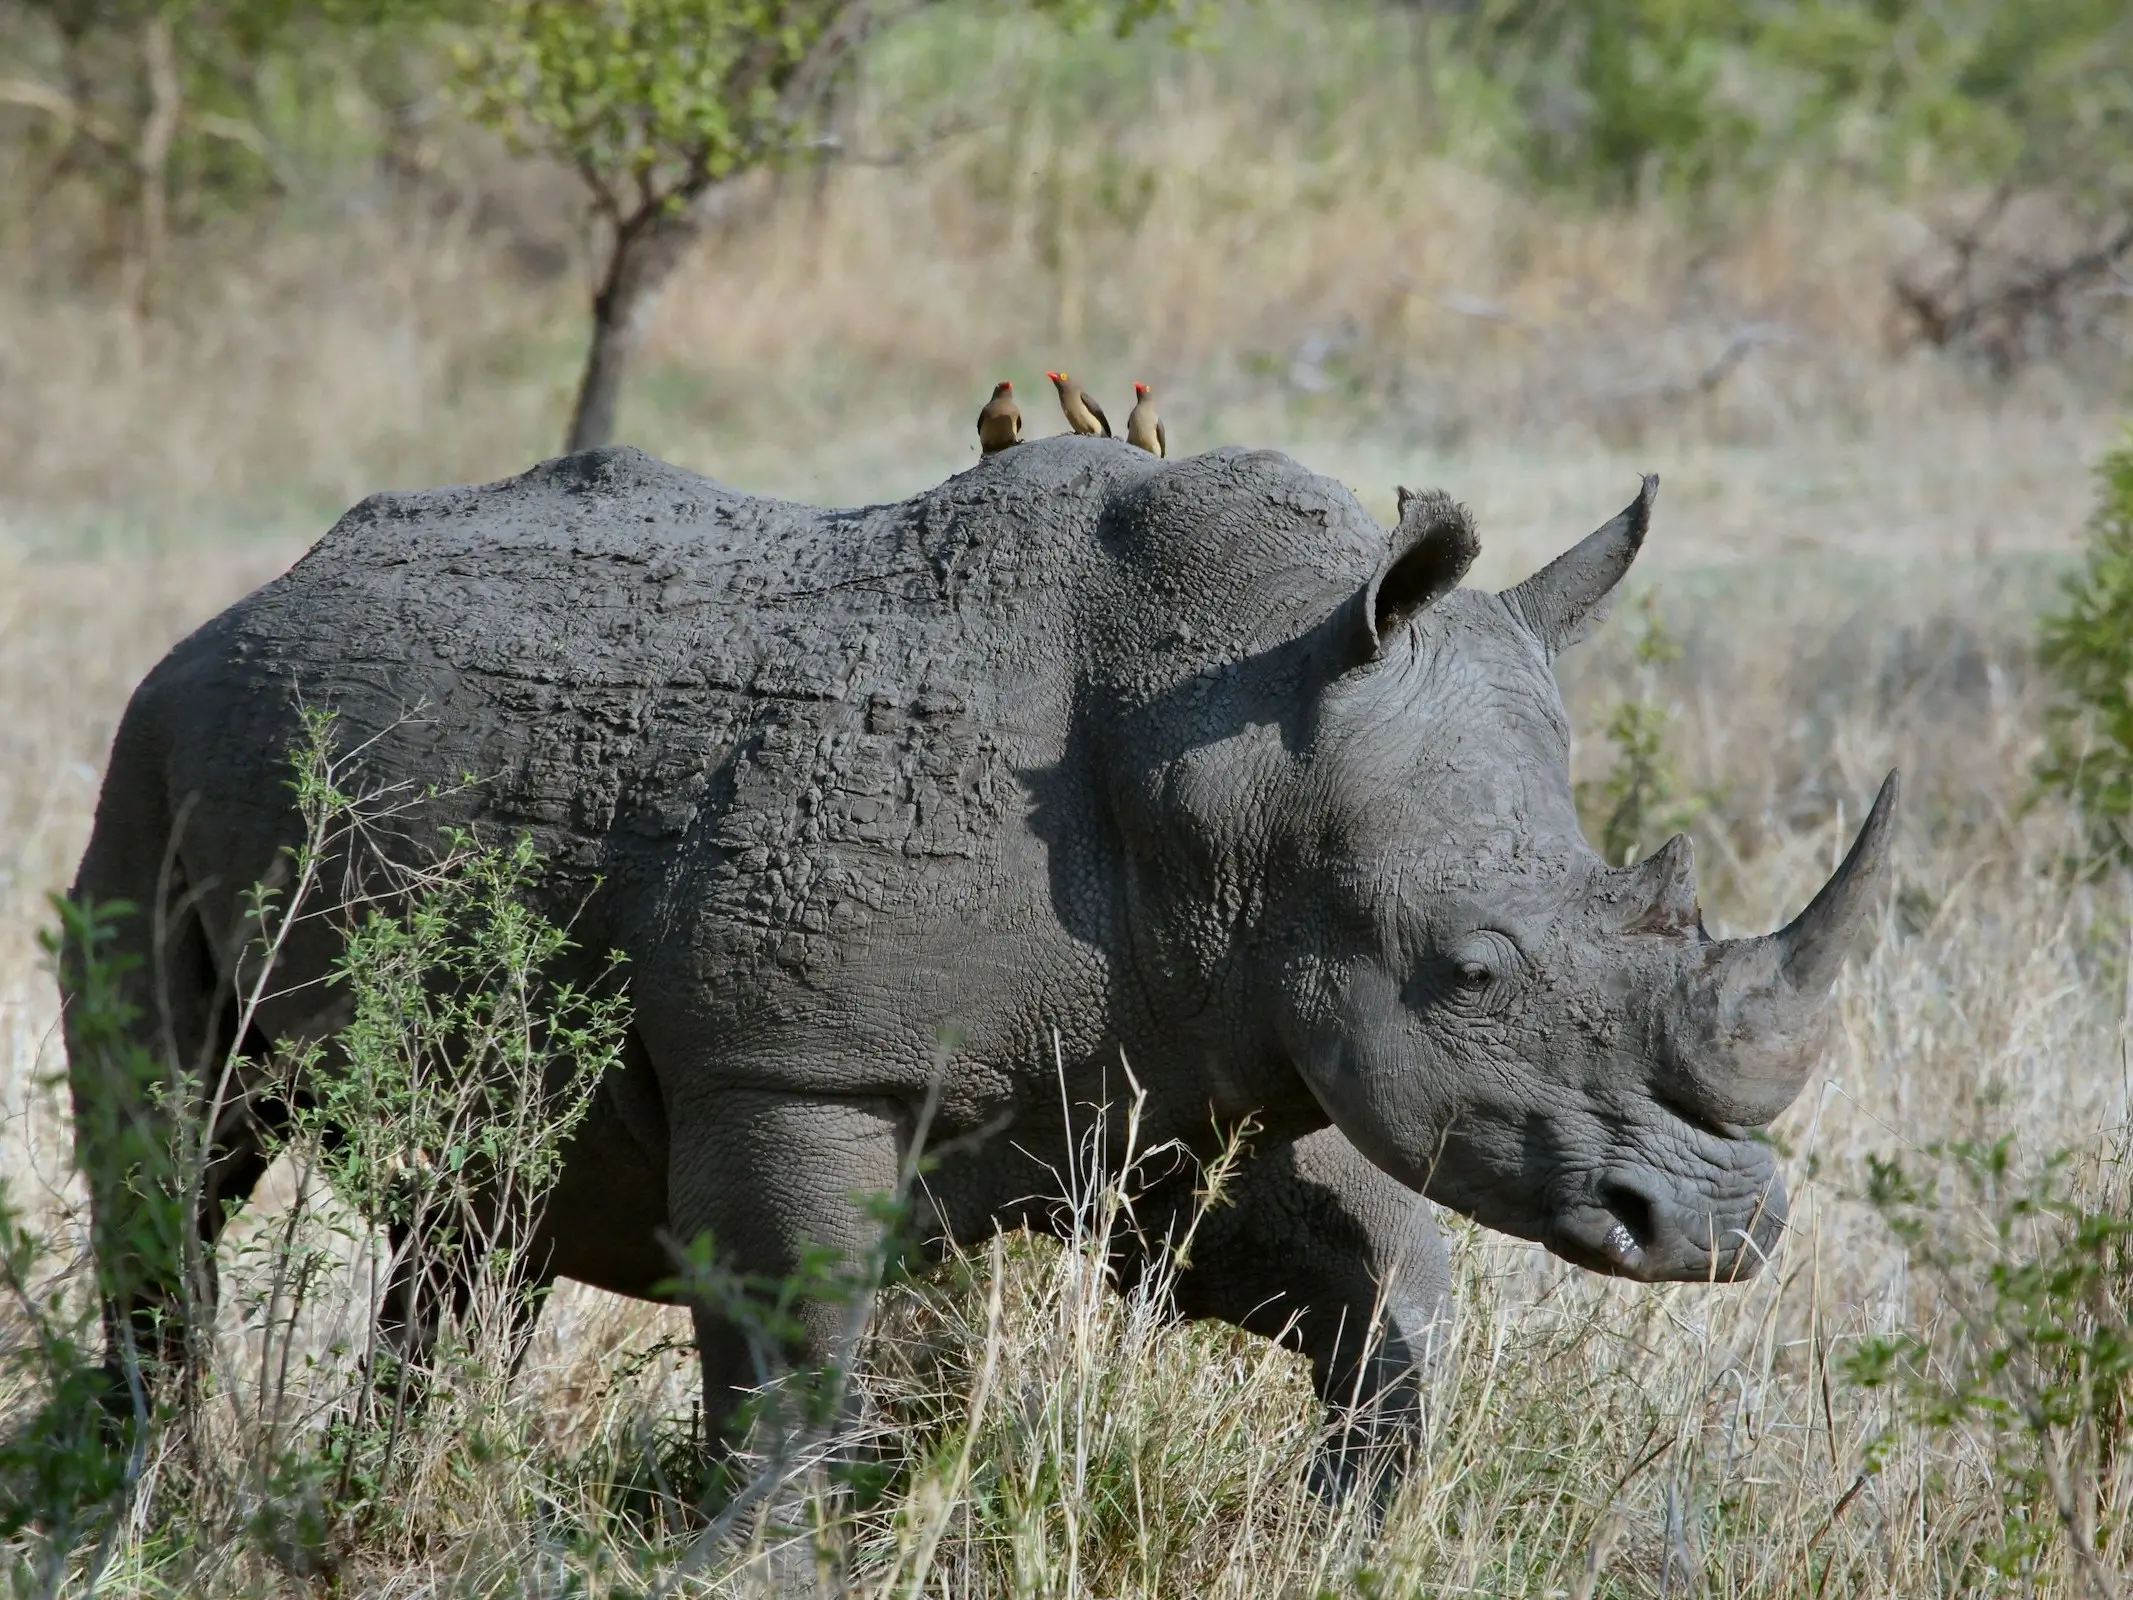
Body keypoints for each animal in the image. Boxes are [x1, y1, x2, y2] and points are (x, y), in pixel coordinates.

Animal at [65, 438, 1895, 1479]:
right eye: (1474, 968)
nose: (1721, 1230)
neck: (1237, 761)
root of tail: (252, 596)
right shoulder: (794, 1068)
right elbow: (795, 1365)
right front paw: (756, 1550)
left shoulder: (1187, 1056)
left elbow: (1381, 1294)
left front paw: (1339, 1517)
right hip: (148, 744)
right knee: (174, 1145)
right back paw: (147, 1503)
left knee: (477, 1210)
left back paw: (367, 1494)